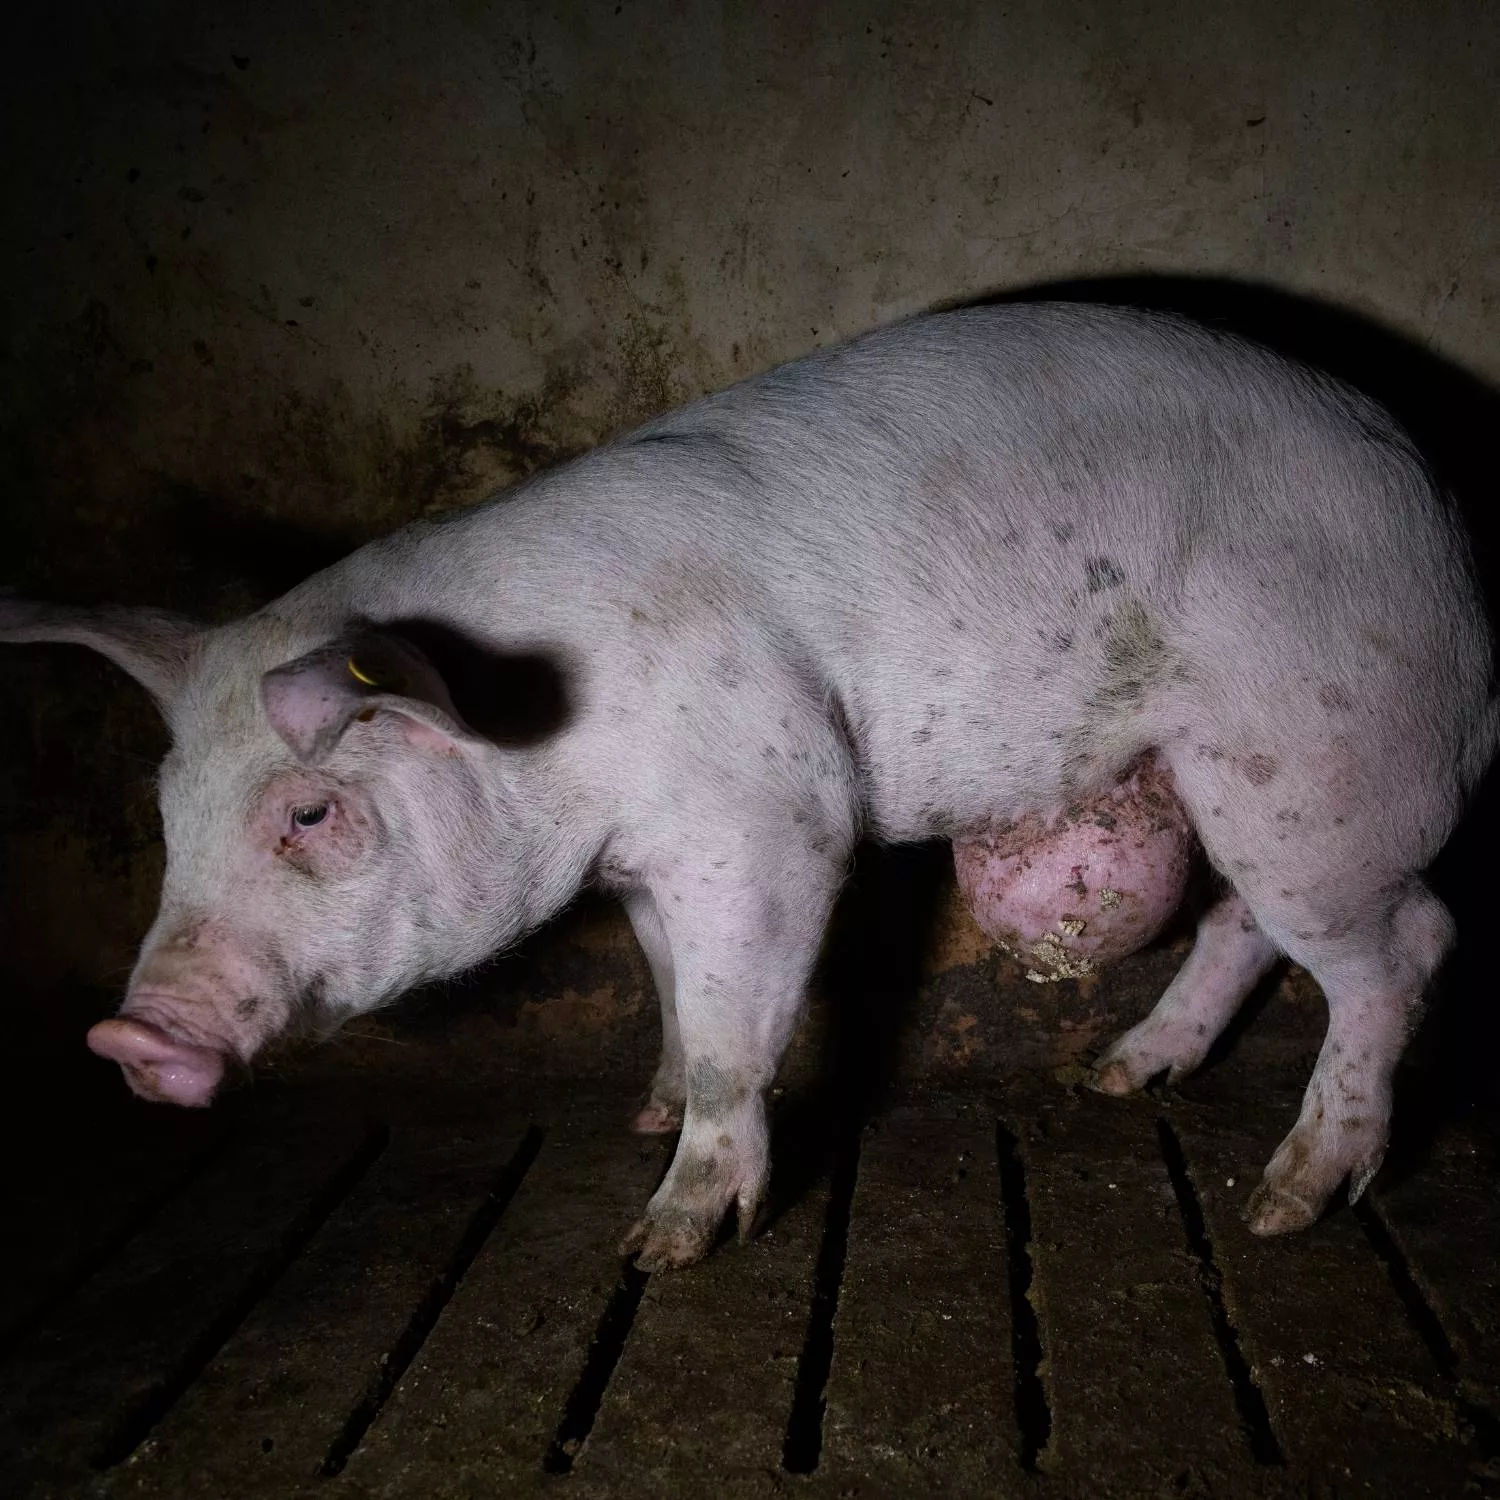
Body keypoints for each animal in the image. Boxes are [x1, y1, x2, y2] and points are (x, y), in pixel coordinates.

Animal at [2, 302, 1494, 1269]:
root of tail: (1453, 551)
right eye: (167, 821)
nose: (126, 1040)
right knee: (1252, 922)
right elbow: (671, 986)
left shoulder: (767, 817)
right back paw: (1118, 1075)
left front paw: (662, 1243)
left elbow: (738, 1027)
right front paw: (646, 1106)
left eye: (309, 814)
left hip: (1322, 752)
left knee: (1408, 945)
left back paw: (1285, 1203)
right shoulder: (641, 865)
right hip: (1238, 782)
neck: (542, 731)